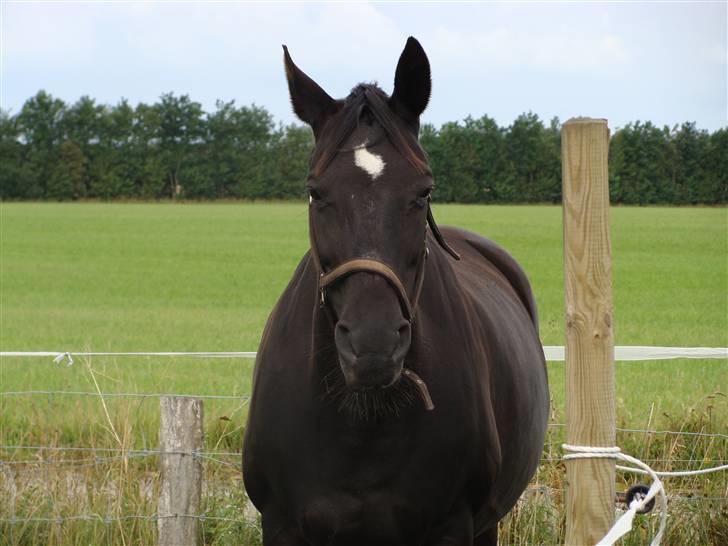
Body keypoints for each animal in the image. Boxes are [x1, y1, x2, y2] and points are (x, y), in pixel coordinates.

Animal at [245, 37, 544, 544]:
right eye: (315, 192)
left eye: (423, 191)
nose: (373, 345)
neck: (361, 425)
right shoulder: (281, 525)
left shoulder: (452, 526)